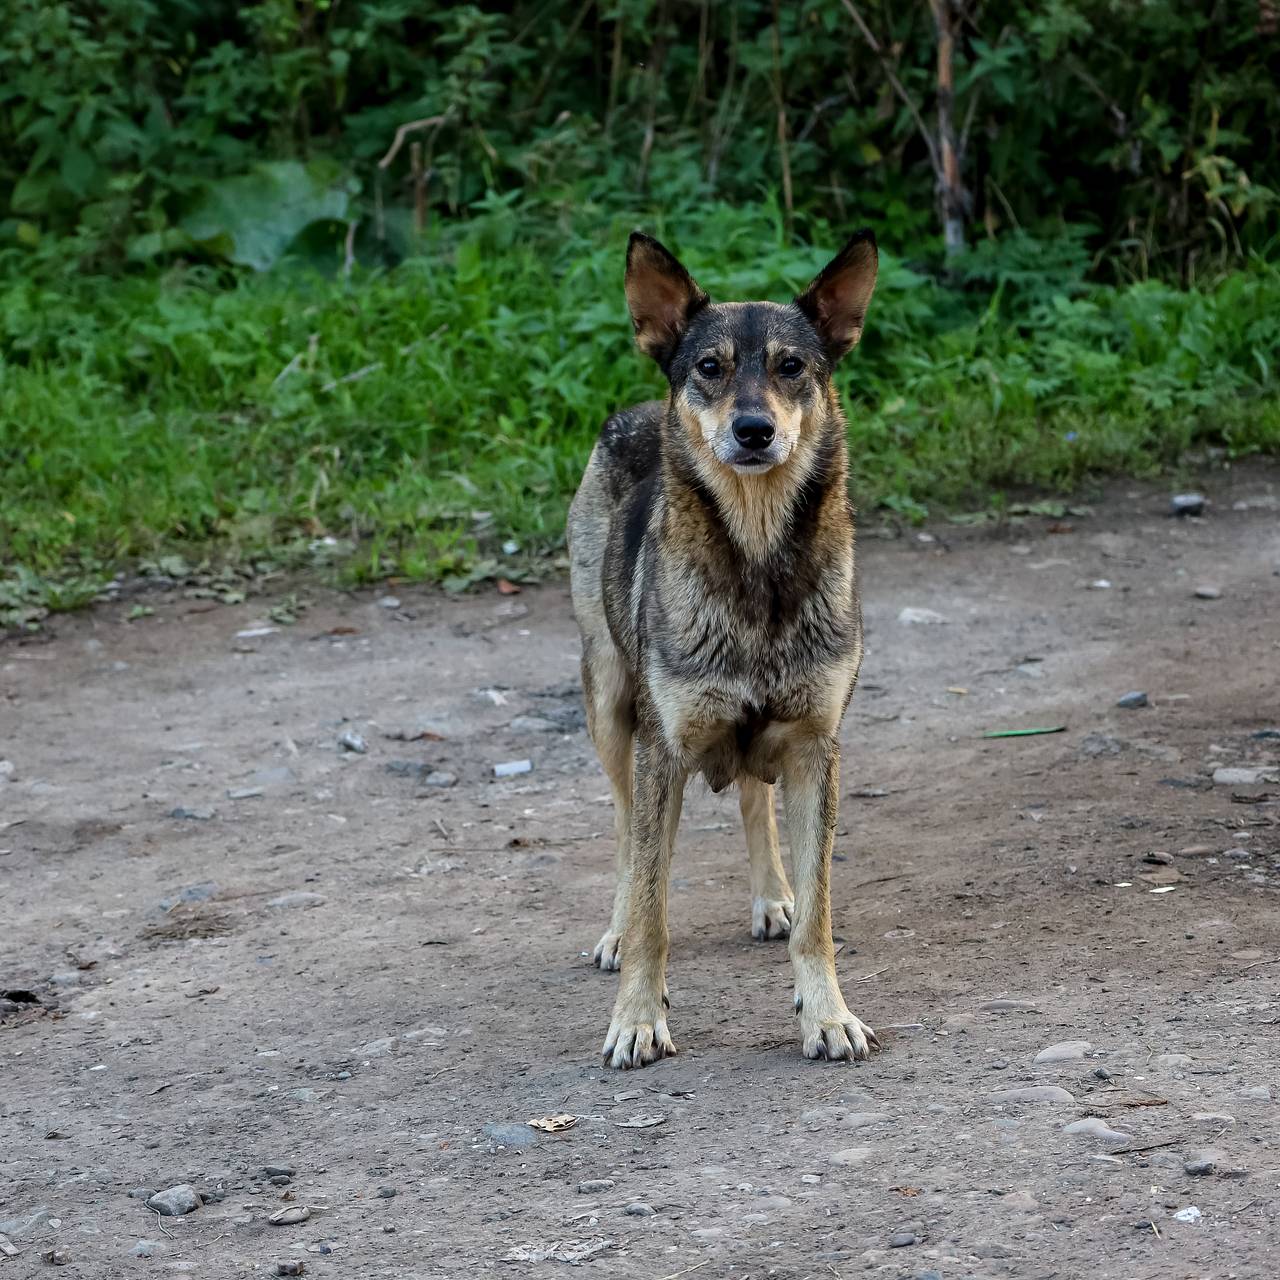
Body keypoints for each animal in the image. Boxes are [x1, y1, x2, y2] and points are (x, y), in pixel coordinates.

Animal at [570, 230, 880, 1070]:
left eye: (791, 366)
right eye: (709, 367)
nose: (753, 430)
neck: (757, 559)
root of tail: (637, 410)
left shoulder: (815, 749)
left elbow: (819, 916)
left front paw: (826, 1014)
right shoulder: (662, 750)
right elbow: (653, 904)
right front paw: (637, 1018)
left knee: (750, 796)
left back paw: (772, 894)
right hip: (608, 705)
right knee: (622, 829)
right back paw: (614, 929)